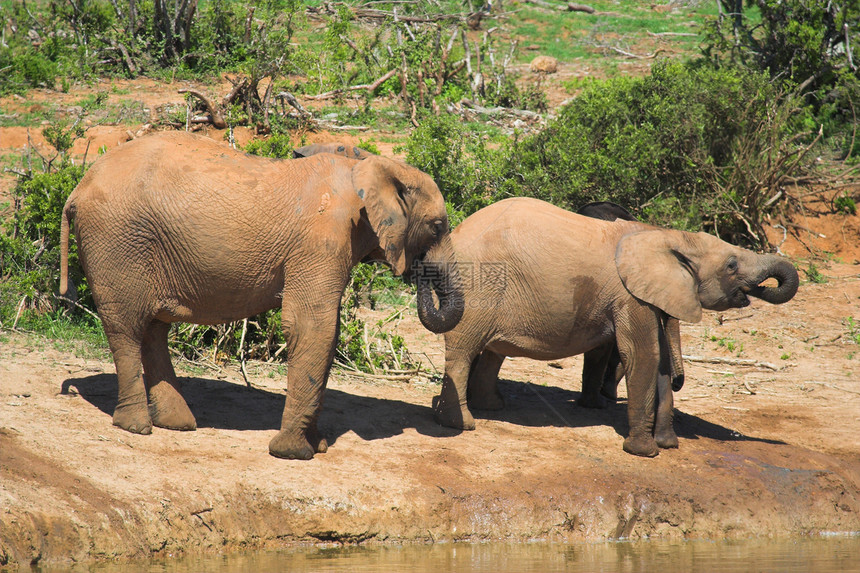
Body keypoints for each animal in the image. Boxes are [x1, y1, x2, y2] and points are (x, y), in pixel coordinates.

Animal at [58, 131, 464, 460]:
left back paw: (176, 423)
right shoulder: (320, 240)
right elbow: (312, 326)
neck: (365, 167)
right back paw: (136, 426)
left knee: (153, 328)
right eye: (437, 227)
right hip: (115, 238)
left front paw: (317, 446)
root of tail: (77, 188)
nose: (418, 271)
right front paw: (294, 453)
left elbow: (325, 333)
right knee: (126, 327)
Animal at [426, 197, 804, 456]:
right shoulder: (629, 297)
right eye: (731, 265)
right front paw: (644, 452)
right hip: (478, 287)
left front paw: (668, 444)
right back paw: (462, 424)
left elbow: (658, 362)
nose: (760, 288)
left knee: (490, 352)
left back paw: (491, 407)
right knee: (463, 351)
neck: (665, 236)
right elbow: (643, 356)